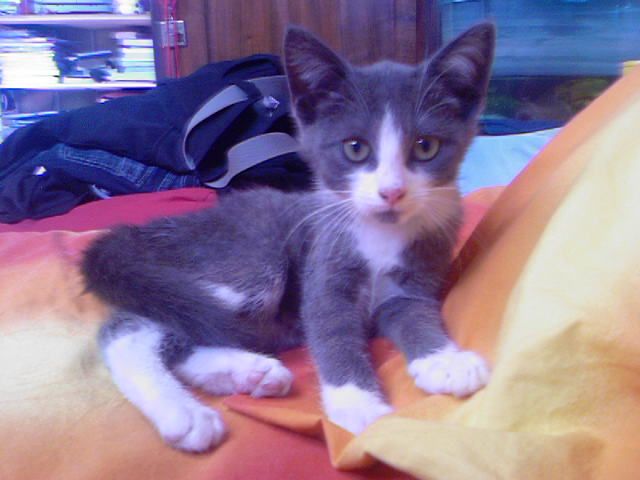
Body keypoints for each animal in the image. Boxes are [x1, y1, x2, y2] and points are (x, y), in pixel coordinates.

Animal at [81, 22, 495, 453]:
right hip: (249, 262)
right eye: (355, 148)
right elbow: (331, 330)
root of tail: (158, 227)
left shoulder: (417, 277)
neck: (380, 233)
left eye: (426, 147)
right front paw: (359, 405)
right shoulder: (324, 269)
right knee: (133, 329)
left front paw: (445, 360)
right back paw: (187, 412)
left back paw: (244, 372)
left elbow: (416, 314)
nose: (392, 191)